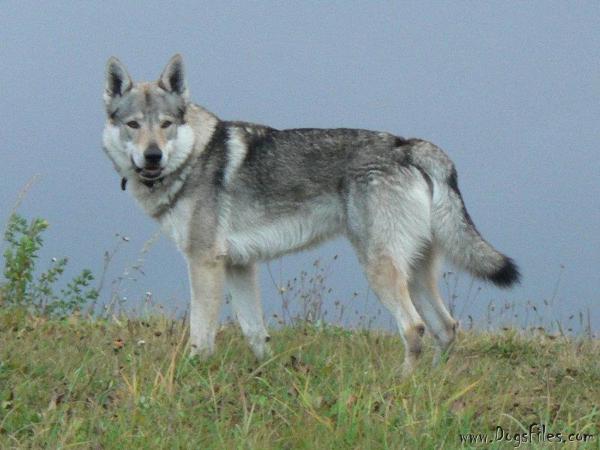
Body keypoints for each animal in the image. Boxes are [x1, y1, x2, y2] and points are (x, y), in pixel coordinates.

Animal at [101, 54, 516, 374]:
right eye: (133, 125)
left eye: (166, 124)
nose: (152, 156)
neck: (193, 158)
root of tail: (407, 145)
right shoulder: (239, 265)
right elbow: (254, 331)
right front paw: (267, 374)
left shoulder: (204, 262)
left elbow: (200, 334)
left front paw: (193, 375)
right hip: (414, 271)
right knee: (446, 327)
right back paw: (433, 386)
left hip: (380, 268)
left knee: (414, 328)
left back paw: (402, 385)